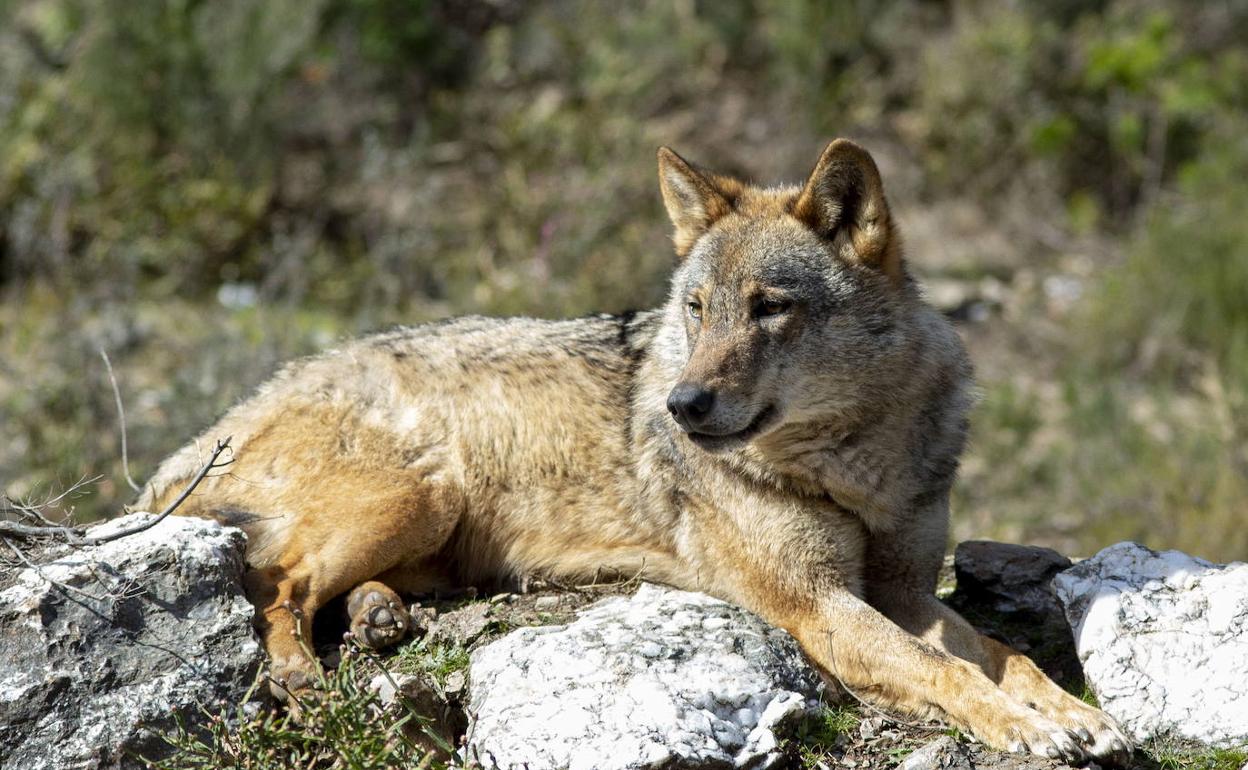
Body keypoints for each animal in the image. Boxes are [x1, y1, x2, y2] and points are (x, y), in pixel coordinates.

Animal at [136, 139, 1133, 763]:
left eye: (770, 308)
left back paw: (381, 618)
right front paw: (1030, 730)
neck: (858, 464)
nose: (681, 405)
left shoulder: (903, 589)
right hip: (426, 491)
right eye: (696, 309)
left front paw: (1075, 715)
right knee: (280, 585)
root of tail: (226, 417)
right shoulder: (816, 605)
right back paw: (301, 673)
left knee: (332, 586)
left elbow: (1006, 656)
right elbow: (943, 671)